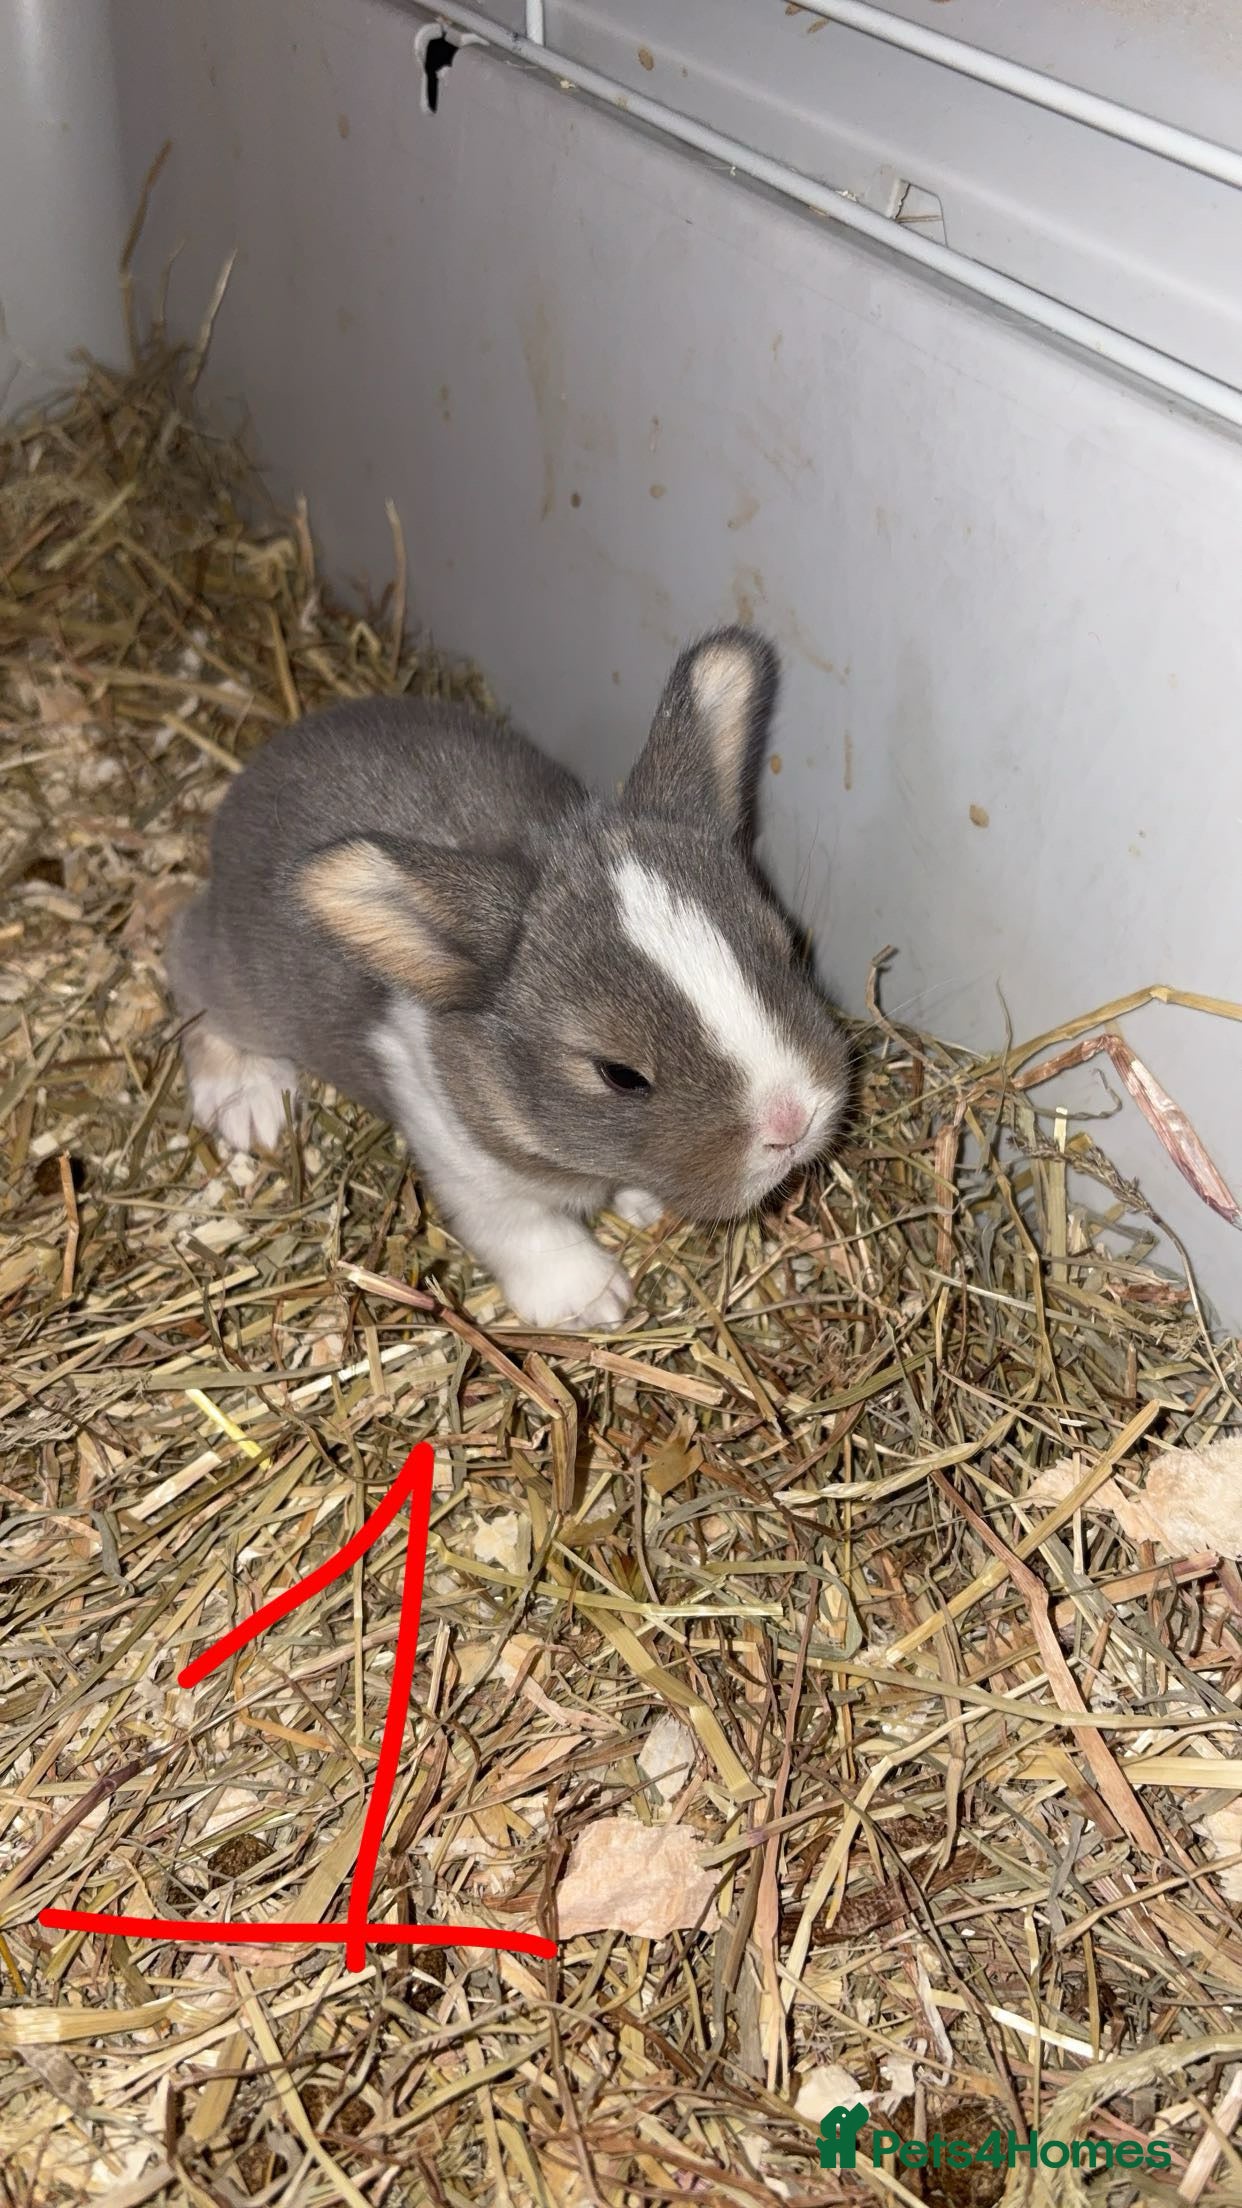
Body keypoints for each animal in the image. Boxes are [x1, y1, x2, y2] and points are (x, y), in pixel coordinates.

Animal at [167, 627, 851, 1328]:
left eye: (788, 948)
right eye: (620, 1074)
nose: (791, 1122)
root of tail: (252, 782)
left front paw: (641, 1206)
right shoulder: (466, 1169)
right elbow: (524, 1230)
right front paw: (592, 1300)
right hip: (240, 980)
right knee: (189, 973)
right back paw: (247, 1100)